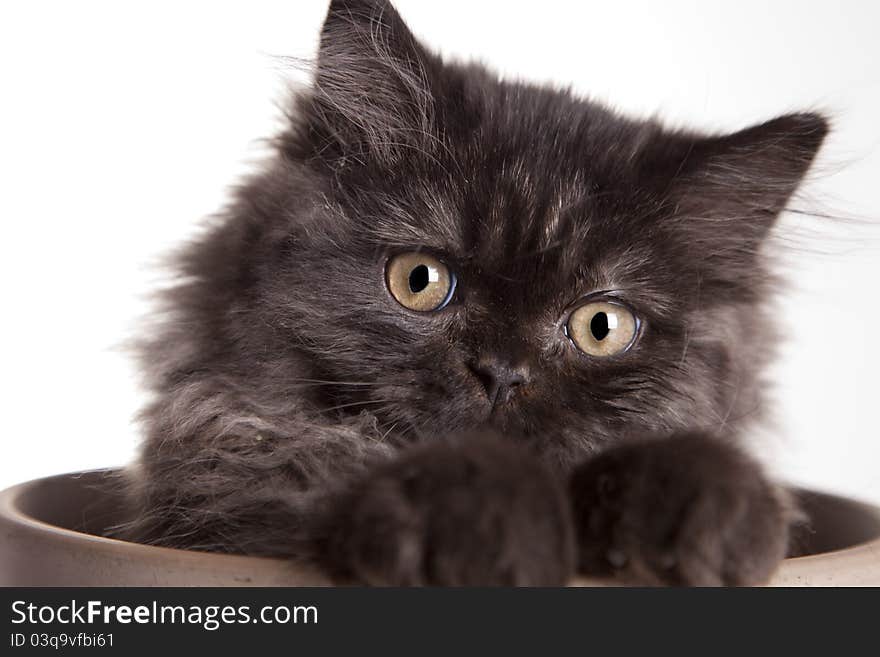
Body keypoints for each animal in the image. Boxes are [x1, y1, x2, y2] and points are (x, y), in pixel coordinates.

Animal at [120, 0, 828, 584]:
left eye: (602, 326)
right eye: (419, 281)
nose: (502, 373)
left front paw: (712, 516)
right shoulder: (230, 487)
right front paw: (489, 532)